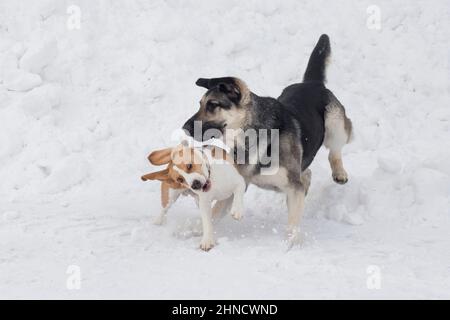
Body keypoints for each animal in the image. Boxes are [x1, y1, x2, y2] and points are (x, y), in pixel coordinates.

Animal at [182, 34, 352, 245]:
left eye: (213, 105)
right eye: (200, 104)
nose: (185, 128)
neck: (250, 135)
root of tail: (312, 83)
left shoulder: (293, 186)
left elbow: (293, 221)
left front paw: (292, 243)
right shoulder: (239, 184)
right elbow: (214, 212)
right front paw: (197, 230)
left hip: (335, 125)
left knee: (334, 151)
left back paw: (339, 172)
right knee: (307, 174)